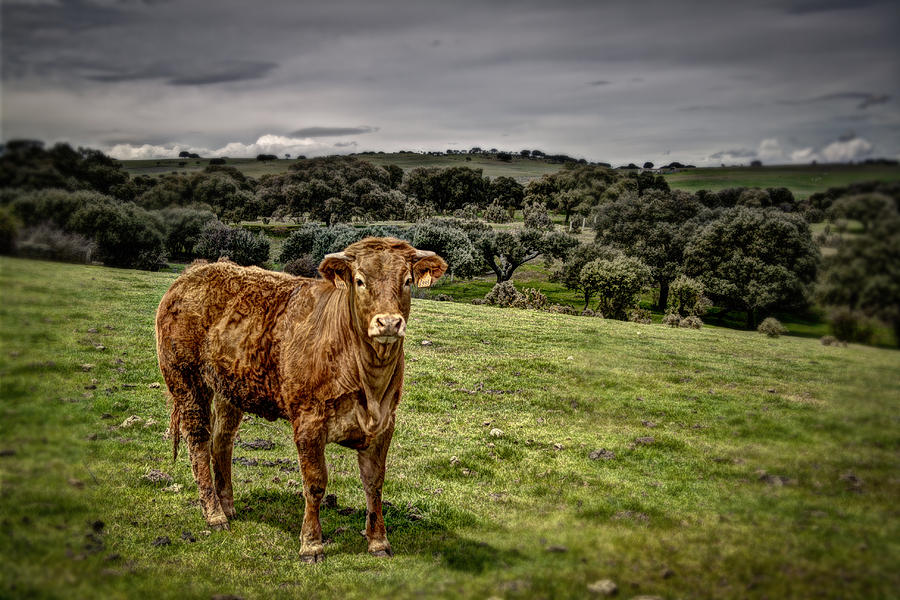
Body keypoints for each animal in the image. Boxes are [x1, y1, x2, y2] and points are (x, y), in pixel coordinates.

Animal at [157, 237, 446, 560]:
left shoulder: (384, 424)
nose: (388, 323)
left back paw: (227, 505)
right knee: (198, 442)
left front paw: (378, 541)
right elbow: (315, 482)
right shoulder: (309, 422)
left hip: (229, 390)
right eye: (360, 281)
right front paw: (311, 543)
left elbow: (374, 483)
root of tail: (193, 273)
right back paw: (214, 514)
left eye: (407, 281)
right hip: (187, 382)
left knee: (222, 441)